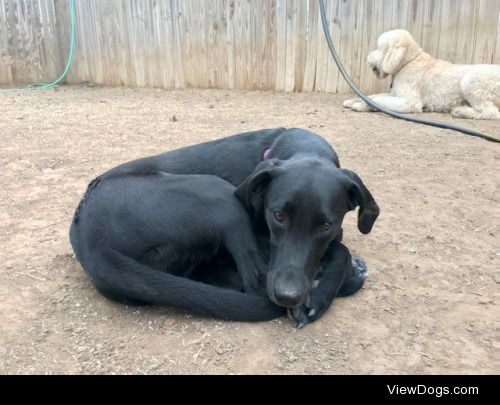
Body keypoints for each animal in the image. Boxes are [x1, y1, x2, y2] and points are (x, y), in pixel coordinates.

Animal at [70, 128, 378, 326]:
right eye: (277, 216)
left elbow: (337, 243)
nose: (287, 296)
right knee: (254, 284)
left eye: (325, 224)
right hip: (219, 194)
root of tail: (90, 245)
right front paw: (325, 291)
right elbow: (342, 250)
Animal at [344, 29, 500, 119]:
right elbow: (374, 96)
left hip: (471, 82)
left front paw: (361, 105)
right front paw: (353, 100)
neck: (408, 62)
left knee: (491, 112)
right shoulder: (395, 94)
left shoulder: (410, 102)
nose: (367, 57)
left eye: (378, 48)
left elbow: (379, 100)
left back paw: (460, 111)